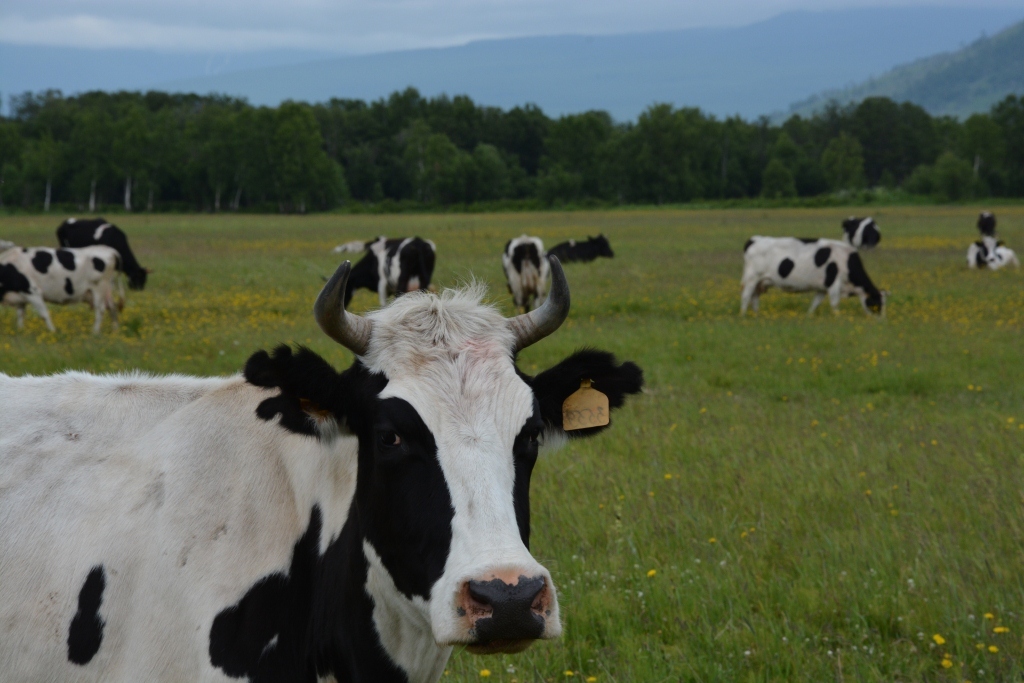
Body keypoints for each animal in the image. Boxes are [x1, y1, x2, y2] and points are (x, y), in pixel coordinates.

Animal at [741, 236, 884, 317]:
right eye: (876, 303)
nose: (881, 321)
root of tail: (754, 239)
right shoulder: (833, 284)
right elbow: (835, 303)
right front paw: (838, 317)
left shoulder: (822, 288)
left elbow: (815, 303)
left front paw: (809, 316)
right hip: (752, 279)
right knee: (746, 297)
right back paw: (743, 316)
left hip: (760, 282)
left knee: (754, 298)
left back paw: (757, 315)